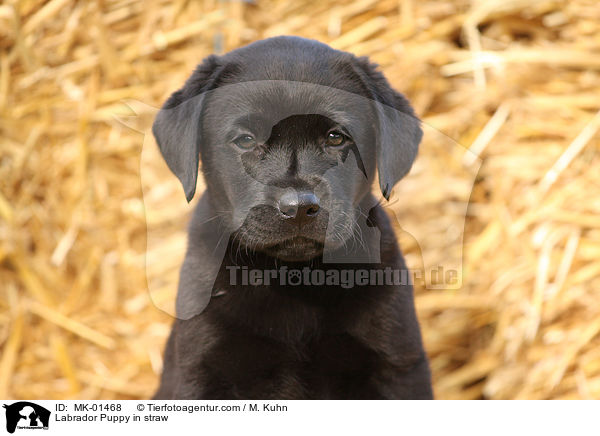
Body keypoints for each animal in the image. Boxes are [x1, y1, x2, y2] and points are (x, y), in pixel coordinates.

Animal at [150, 36, 432, 398]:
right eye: (246, 139)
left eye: (336, 137)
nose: (298, 207)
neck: (293, 279)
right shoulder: (200, 371)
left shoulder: (397, 363)